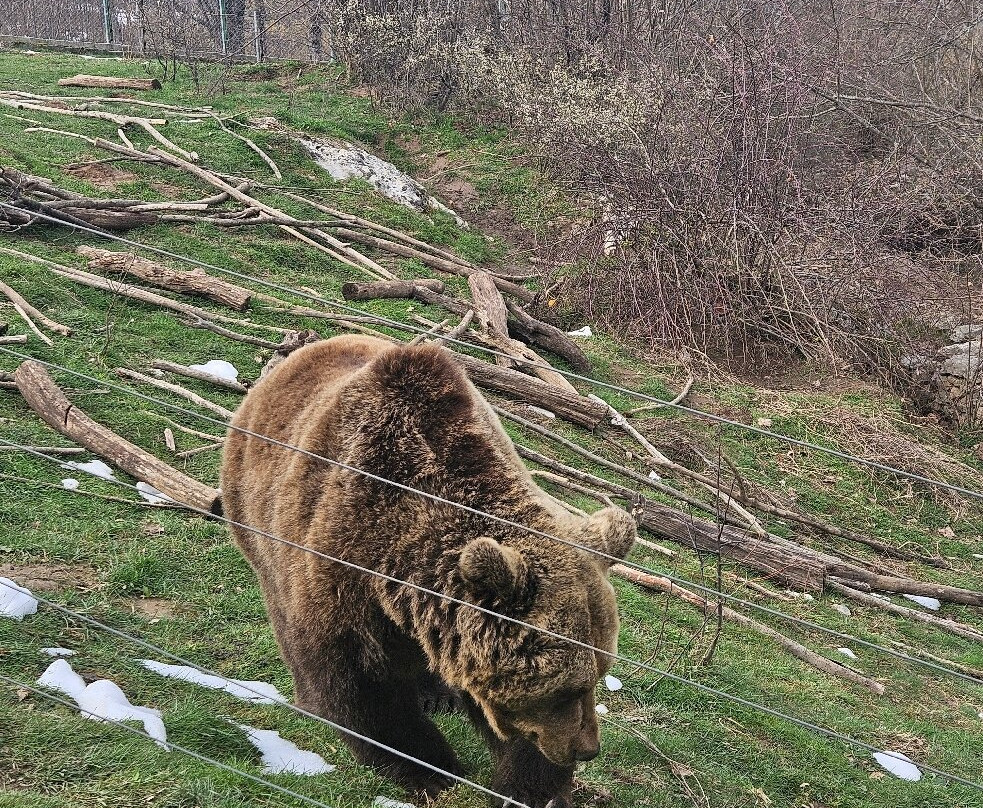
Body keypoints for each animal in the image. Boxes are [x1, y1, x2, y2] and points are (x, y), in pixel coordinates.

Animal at [221, 334, 637, 807]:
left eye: (599, 674)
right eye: (568, 689)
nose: (587, 749)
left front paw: (534, 788)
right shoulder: (340, 573)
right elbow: (360, 686)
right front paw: (434, 773)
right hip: (257, 521)